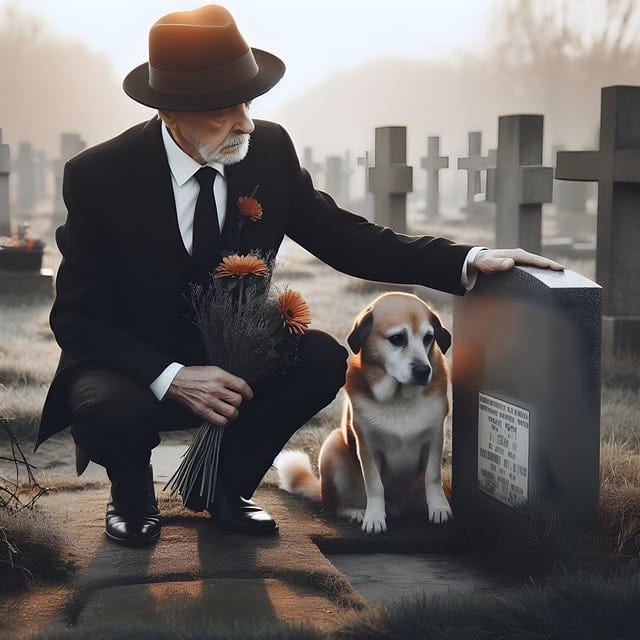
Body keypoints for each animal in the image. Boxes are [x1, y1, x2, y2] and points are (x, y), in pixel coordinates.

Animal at [278, 292, 452, 532]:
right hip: (332, 446)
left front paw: (439, 508)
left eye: (428, 338)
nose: (423, 371)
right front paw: (374, 518)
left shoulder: (435, 438)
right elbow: (375, 485)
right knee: (336, 505)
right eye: (397, 338)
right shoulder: (368, 447)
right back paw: (356, 512)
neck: (400, 398)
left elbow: (432, 477)